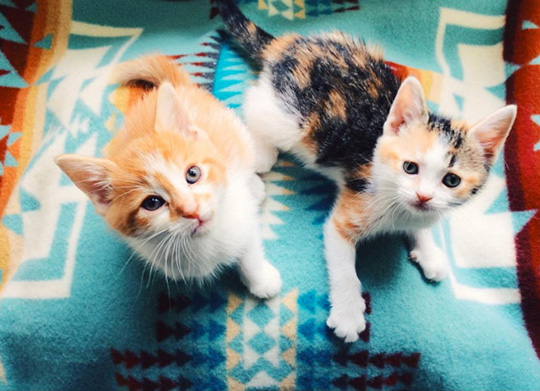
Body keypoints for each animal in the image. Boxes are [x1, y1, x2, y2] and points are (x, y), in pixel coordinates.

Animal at [55, 55, 282, 300]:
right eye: (152, 203)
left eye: (193, 174)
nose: (192, 210)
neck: (203, 241)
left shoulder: (242, 217)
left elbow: (249, 247)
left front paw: (261, 279)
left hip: (236, 132)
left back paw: (255, 186)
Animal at [217, 0, 516, 344]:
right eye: (409, 167)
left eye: (451, 180)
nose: (424, 196)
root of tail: (289, 43)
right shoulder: (348, 212)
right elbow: (345, 268)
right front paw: (348, 314)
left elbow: (420, 224)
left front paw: (429, 251)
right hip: (289, 119)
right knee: (254, 102)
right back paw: (262, 149)